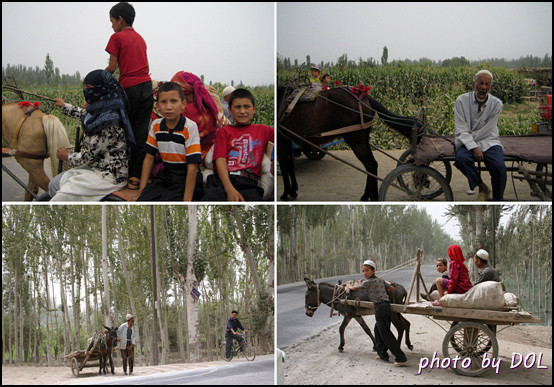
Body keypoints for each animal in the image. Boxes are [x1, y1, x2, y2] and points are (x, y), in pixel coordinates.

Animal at [276, 87, 422, 203]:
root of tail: (364, 96)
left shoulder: (281, 140)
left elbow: (284, 165)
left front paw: (285, 193)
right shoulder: (287, 139)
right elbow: (290, 165)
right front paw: (293, 191)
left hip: (355, 140)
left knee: (370, 164)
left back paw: (373, 197)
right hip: (362, 139)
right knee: (372, 164)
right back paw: (367, 196)